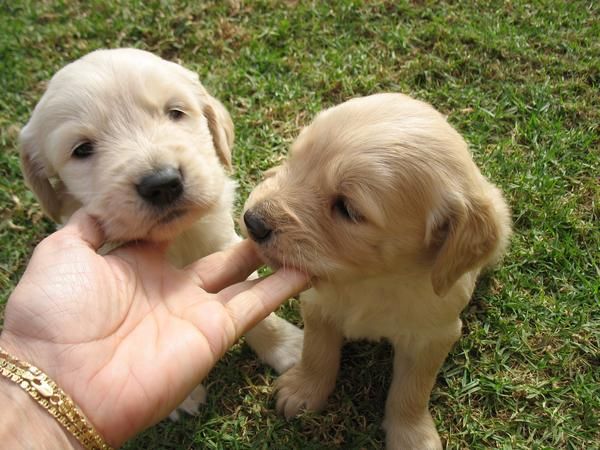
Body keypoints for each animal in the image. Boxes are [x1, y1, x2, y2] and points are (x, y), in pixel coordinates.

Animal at [19, 48, 304, 418]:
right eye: (81, 149)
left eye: (176, 113)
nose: (163, 183)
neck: (176, 240)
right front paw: (182, 397)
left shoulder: (221, 240)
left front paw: (286, 346)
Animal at [241, 93, 512, 448]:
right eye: (294, 160)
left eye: (348, 209)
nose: (252, 221)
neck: (373, 280)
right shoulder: (318, 306)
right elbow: (317, 352)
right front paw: (303, 390)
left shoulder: (433, 334)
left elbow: (412, 390)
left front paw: (412, 434)